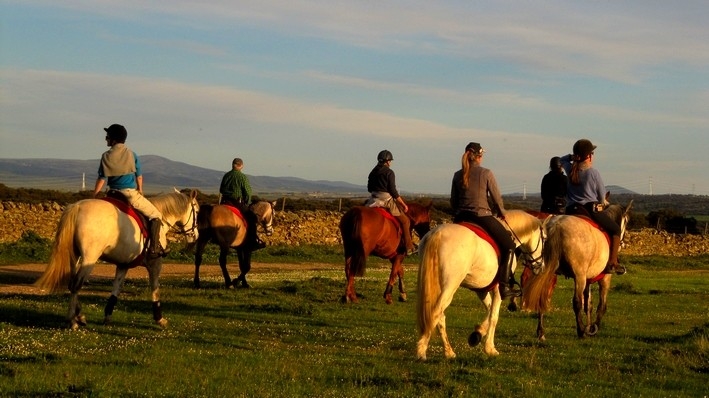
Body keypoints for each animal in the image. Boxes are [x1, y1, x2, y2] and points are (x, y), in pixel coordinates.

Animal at [34, 189, 199, 330]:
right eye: (197, 212)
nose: (195, 236)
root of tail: (77, 207)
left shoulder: (123, 265)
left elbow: (116, 289)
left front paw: (107, 315)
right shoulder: (155, 264)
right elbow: (155, 288)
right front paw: (159, 318)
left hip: (75, 257)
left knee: (72, 283)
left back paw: (79, 316)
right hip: (89, 258)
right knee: (76, 285)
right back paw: (72, 321)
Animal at [520, 201, 632, 340]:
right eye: (626, 221)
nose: (623, 243)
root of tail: (556, 226)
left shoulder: (588, 280)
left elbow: (588, 304)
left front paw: (590, 326)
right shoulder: (605, 278)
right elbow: (601, 306)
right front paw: (594, 328)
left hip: (547, 270)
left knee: (541, 295)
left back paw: (541, 332)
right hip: (579, 276)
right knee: (577, 302)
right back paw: (581, 331)